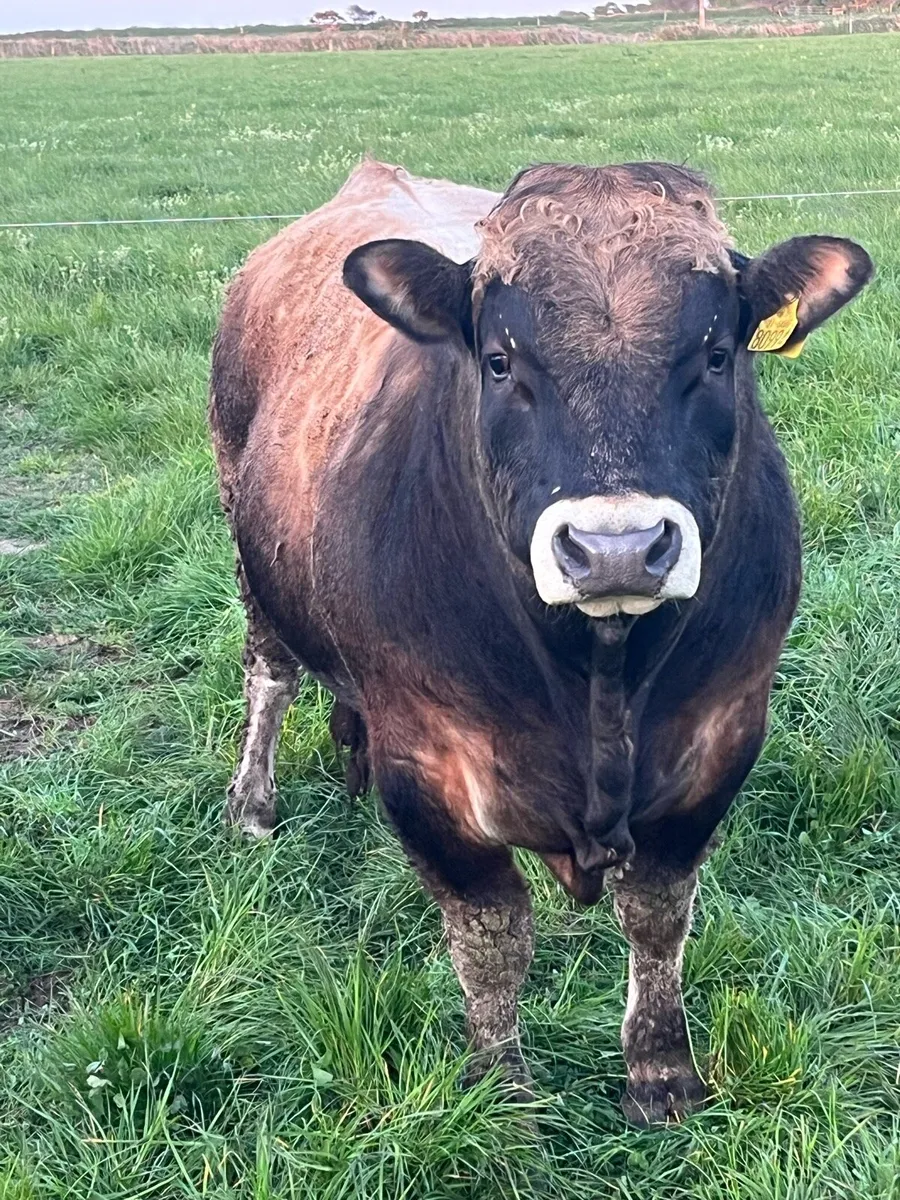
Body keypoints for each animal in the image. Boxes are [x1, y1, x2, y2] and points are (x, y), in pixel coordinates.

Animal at [209, 159, 872, 1124]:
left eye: (717, 356)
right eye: (499, 361)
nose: (616, 548)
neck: (600, 673)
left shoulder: (724, 739)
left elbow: (659, 915)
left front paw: (660, 1071)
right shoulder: (429, 772)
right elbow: (493, 939)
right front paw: (501, 1093)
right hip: (248, 546)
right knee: (271, 676)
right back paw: (253, 808)